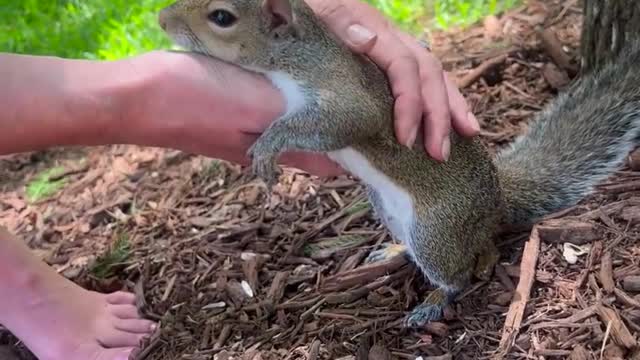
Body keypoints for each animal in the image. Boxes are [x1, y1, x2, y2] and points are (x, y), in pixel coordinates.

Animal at [158, 0, 640, 326]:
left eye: (222, 17)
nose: (161, 20)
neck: (295, 54)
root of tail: (497, 203)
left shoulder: (347, 98)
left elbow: (343, 121)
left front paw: (269, 145)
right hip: (387, 208)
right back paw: (393, 249)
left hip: (438, 231)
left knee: (461, 269)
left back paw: (436, 301)